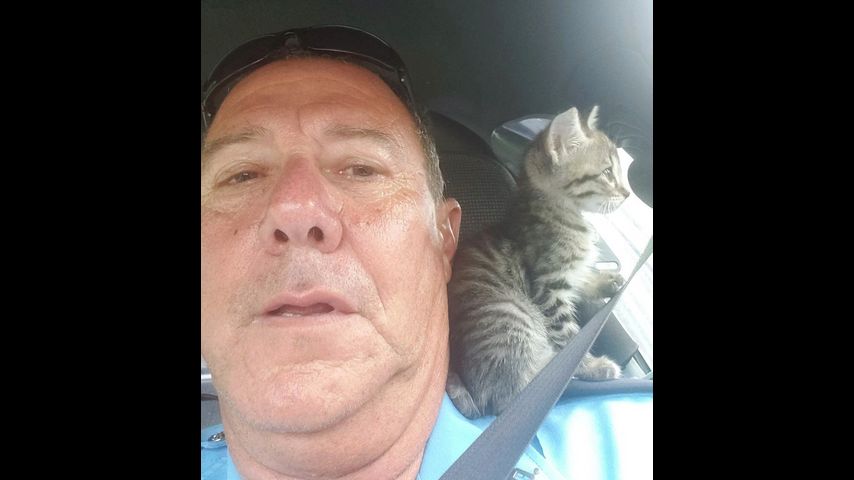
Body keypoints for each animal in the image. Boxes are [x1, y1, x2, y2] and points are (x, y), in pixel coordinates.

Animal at [446, 105, 630, 419]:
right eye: (607, 172)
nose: (628, 193)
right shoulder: (549, 287)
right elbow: (568, 334)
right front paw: (589, 365)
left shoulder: (570, 274)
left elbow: (584, 278)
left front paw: (607, 281)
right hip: (513, 317)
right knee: (511, 397)